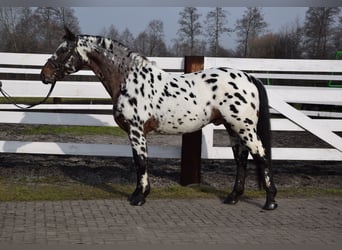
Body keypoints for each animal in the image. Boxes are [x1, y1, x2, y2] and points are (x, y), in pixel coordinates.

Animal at [40, 27, 276, 210]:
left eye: (63, 50)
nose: (44, 75)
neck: (128, 79)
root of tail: (249, 77)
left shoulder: (136, 130)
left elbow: (140, 162)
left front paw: (139, 197)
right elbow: (140, 161)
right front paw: (140, 194)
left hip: (244, 128)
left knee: (261, 156)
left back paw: (270, 201)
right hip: (232, 128)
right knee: (241, 160)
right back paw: (233, 197)